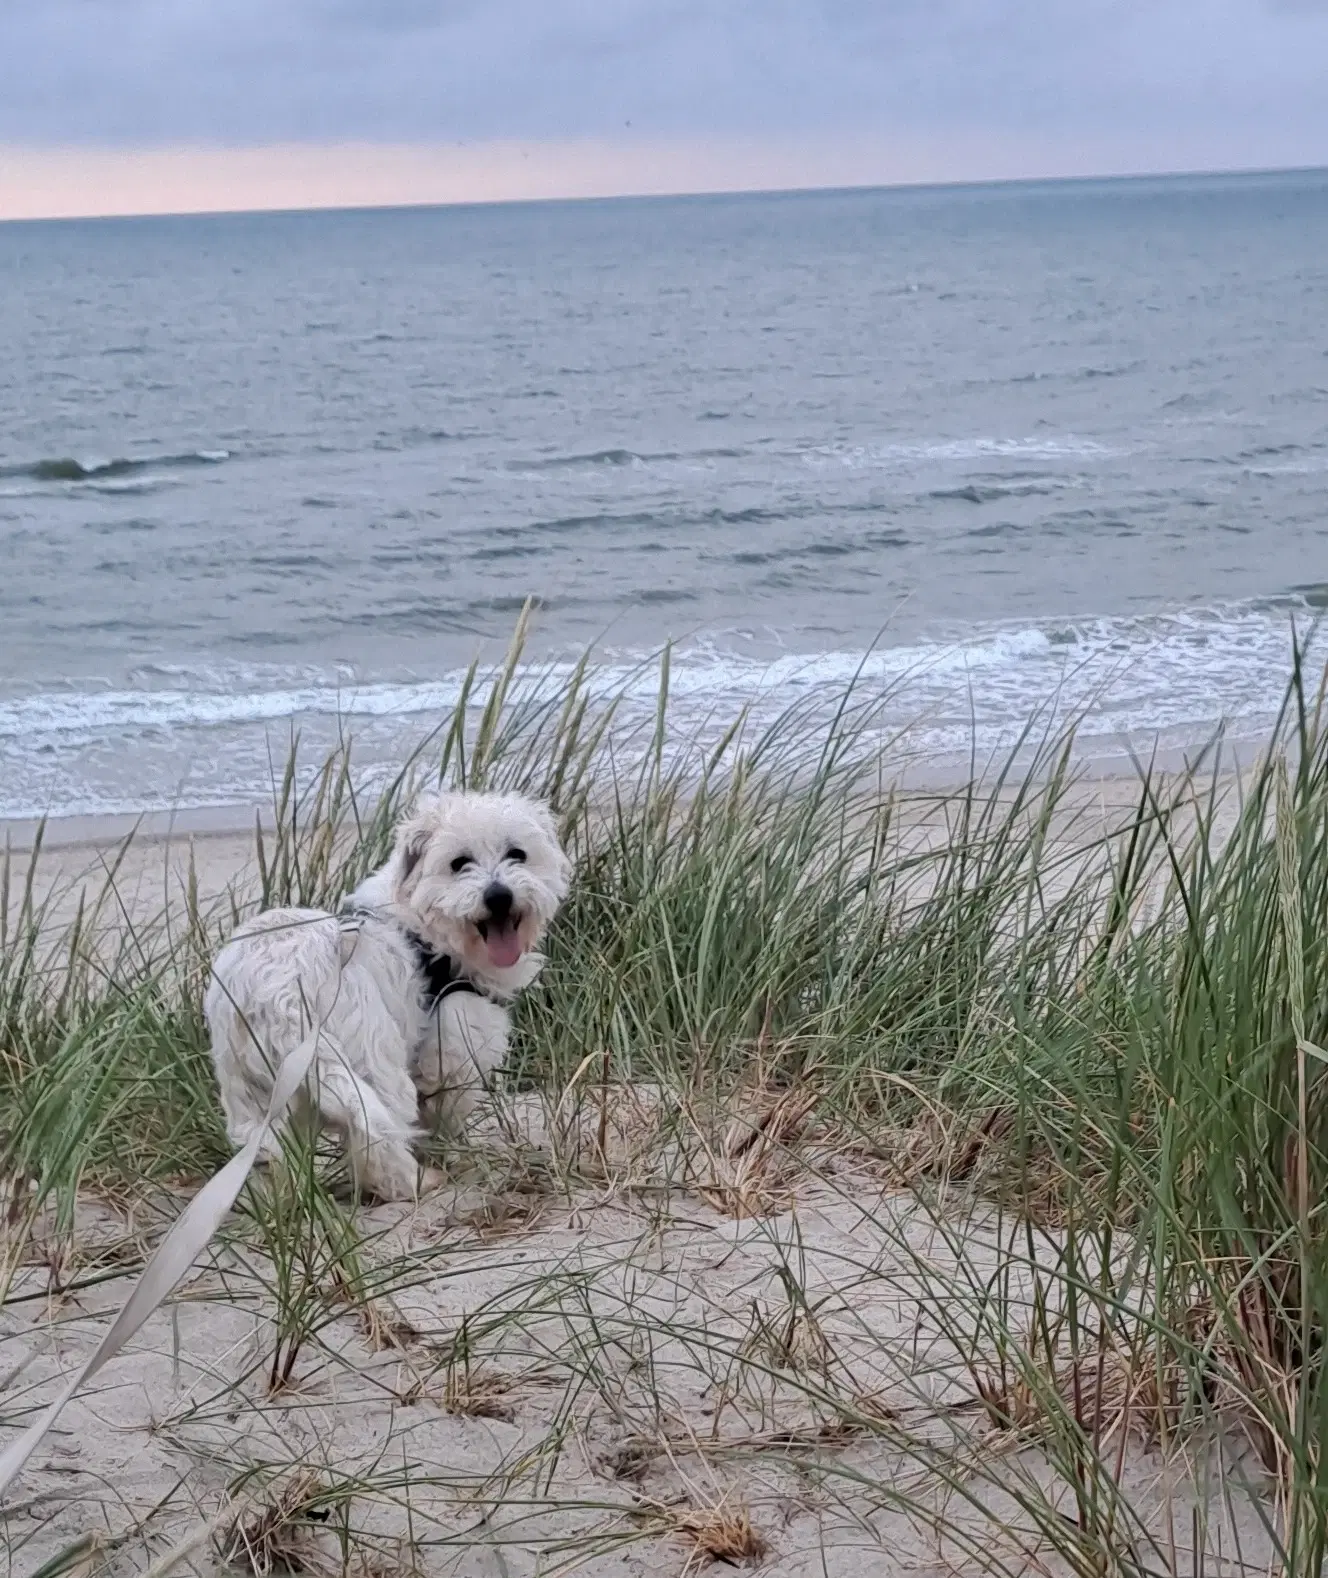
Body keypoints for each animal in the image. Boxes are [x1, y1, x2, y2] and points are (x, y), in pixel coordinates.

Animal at [203, 795, 567, 1199]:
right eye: (459, 863)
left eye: (517, 854)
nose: (499, 896)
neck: (429, 930)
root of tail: (277, 996)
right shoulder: (454, 1048)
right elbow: (447, 1114)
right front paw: (458, 1156)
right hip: (370, 1061)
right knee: (377, 1135)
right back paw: (414, 1181)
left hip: (251, 1089)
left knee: (266, 1150)